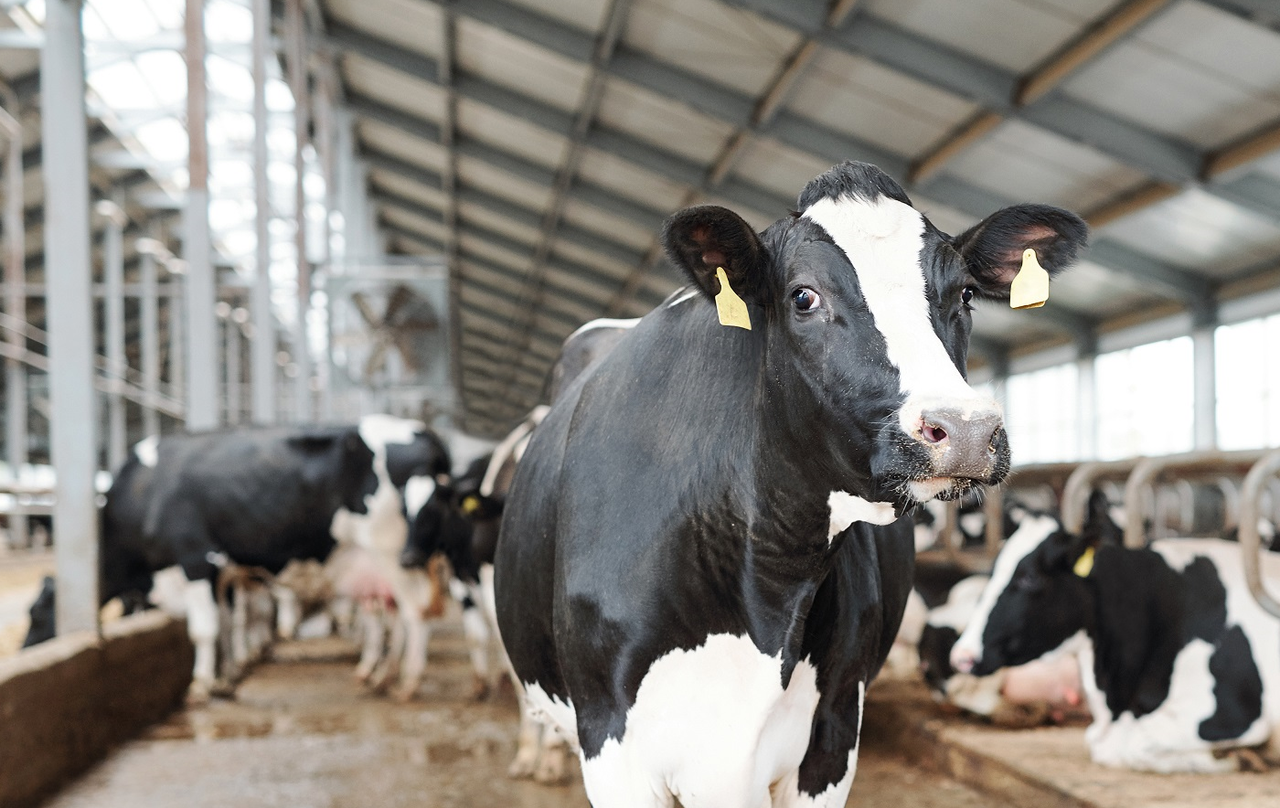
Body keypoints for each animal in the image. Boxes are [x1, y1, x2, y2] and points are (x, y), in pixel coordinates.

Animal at [494, 160, 1087, 805]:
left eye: (967, 294)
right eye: (804, 296)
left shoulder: (832, 733)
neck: (767, 592)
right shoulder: (611, 746)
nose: (967, 429)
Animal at [950, 490, 1280, 772]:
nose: (961, 655)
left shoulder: (1232, 715)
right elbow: (1100, 743)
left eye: (1029, 577)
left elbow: (1131, 744)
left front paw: (1238, 756)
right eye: (992, 570)